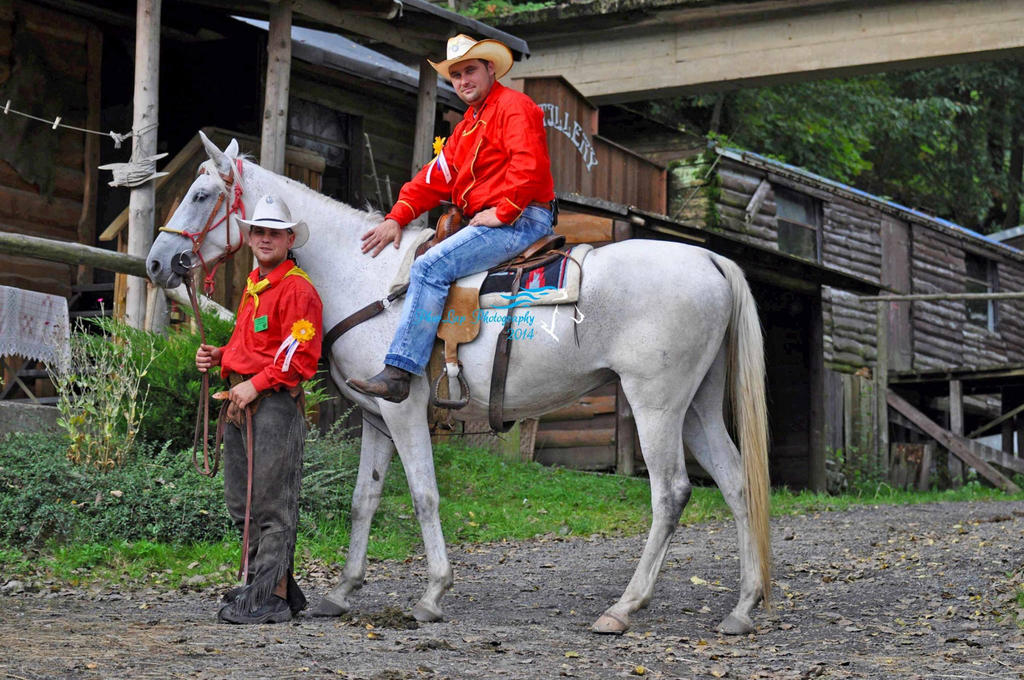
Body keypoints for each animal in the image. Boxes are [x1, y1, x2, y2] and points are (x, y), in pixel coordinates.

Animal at [142, 131, 770, 630]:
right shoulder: (375, 417)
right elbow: (364, 500)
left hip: (655, 404)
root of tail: (710, 261)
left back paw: (623, 608)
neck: (364, 275)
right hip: (697, 407)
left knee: (671, 493)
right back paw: (742, 607)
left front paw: (432, 594)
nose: (155, 263)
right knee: (736, 484)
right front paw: (342, 593)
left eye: (201, 195)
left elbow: (423, 494)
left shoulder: (402, 409)